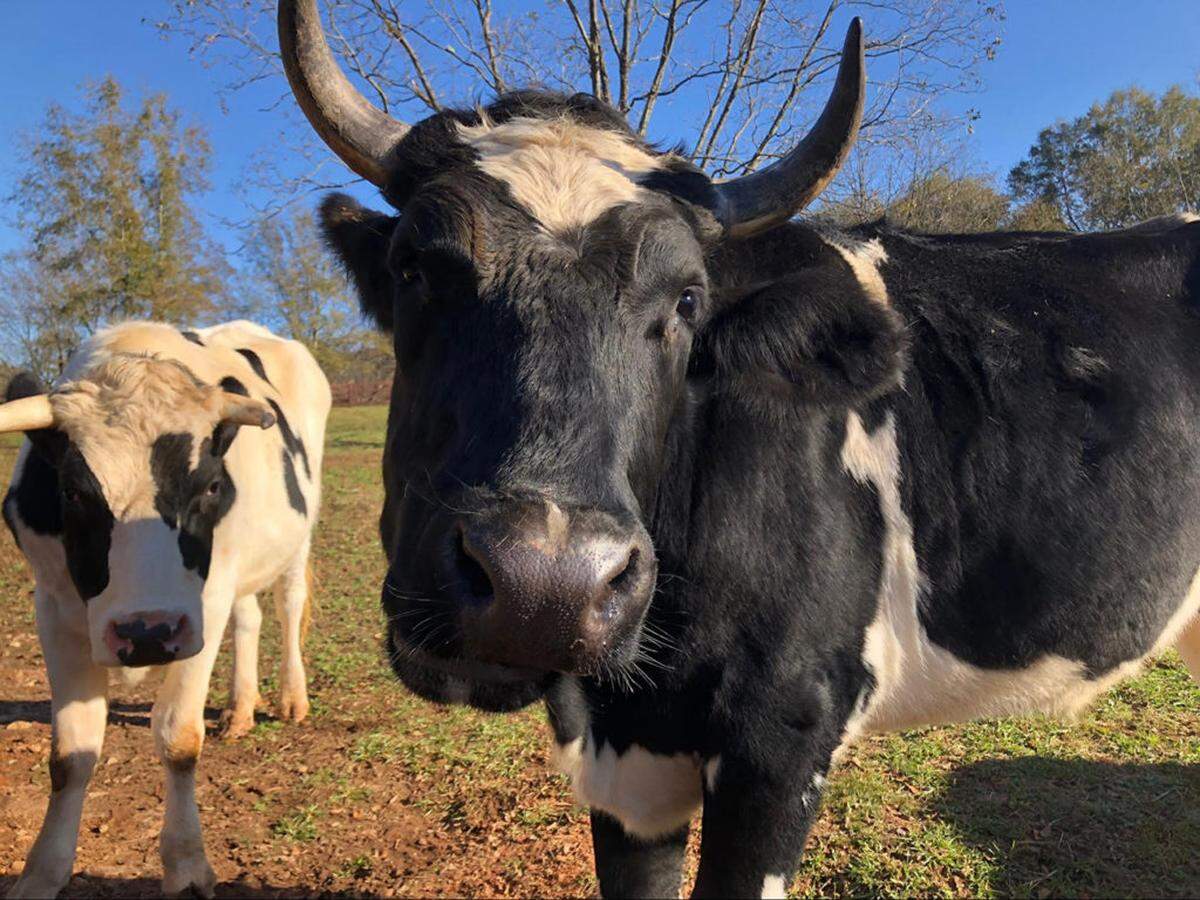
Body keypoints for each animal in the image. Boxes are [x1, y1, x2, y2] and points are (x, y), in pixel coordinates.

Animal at [2, 321, 330, 899]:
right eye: (73, 492)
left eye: (212, 486)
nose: (147, 633)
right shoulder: (54, 608)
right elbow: (72, 754)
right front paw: (41, 874)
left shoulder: (201, 612)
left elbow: (178, 737)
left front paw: (187, 867)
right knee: (250, 618)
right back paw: (240, 709)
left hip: (297, 537)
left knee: (289, 604)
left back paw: (291, 697)